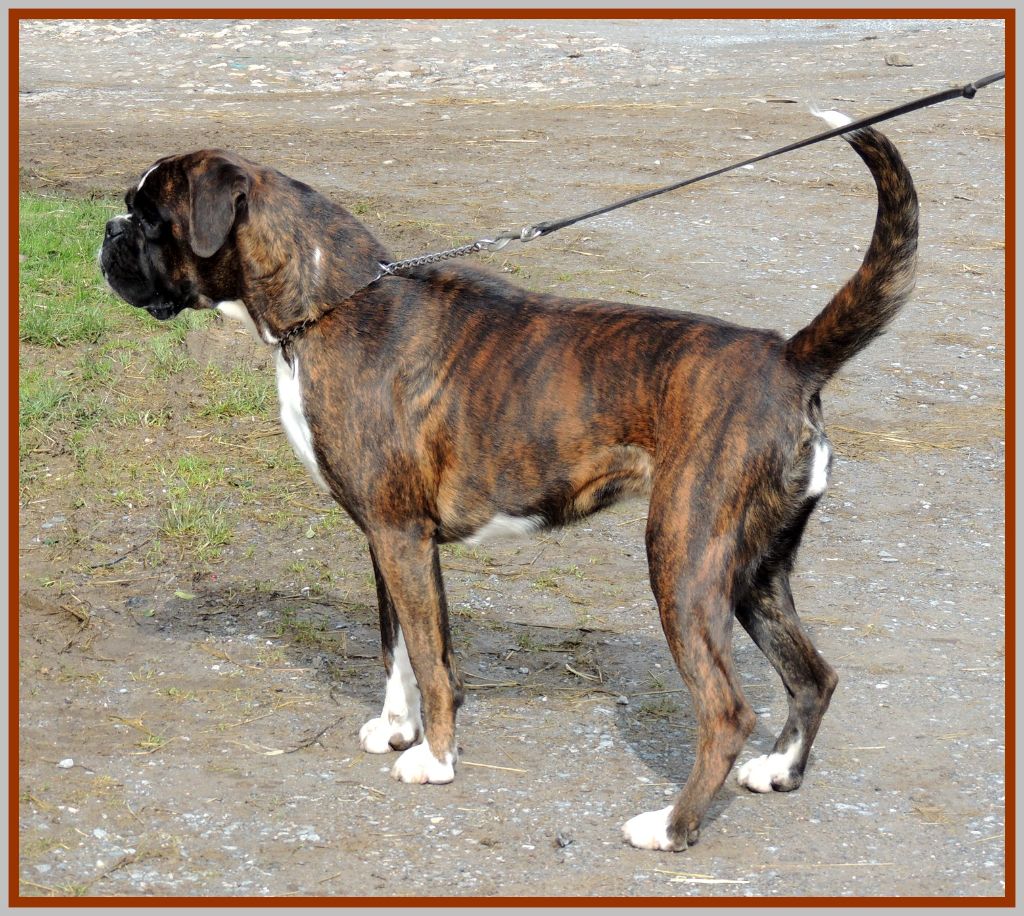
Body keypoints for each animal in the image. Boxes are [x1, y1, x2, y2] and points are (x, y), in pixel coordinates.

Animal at [101, 116, 921, 851]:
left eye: (151, 218)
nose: (107, 232)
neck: (331, 301)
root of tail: (789, 358)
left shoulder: (400, 536)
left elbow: (431, 661)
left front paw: (434, 760)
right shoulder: (388, 539)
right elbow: (400, 646)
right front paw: (398, 730)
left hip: (684, 563)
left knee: (725, 712)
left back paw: (669, 828)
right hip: (754, 570)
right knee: (813, 675)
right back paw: (777, 772)